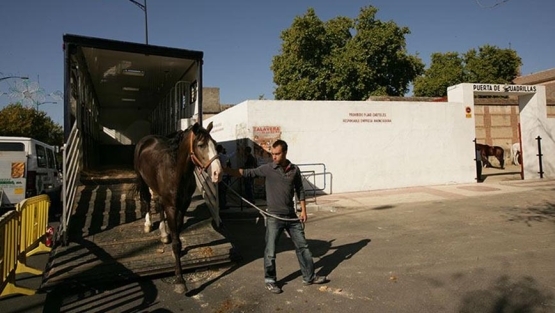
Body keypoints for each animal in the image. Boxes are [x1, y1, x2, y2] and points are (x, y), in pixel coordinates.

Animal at [134, 120, 223, 292]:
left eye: (215, 144)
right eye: (201, 144)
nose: (217, 173)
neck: (176, 171)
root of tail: (146, 140)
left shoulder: (183, 205)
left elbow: (178, 234)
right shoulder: (172, 207)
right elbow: (176, 243)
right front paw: (180, 280)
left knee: (158, 205)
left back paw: (164, 234)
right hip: (143, 180)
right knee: (147, 200)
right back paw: (148, 224)